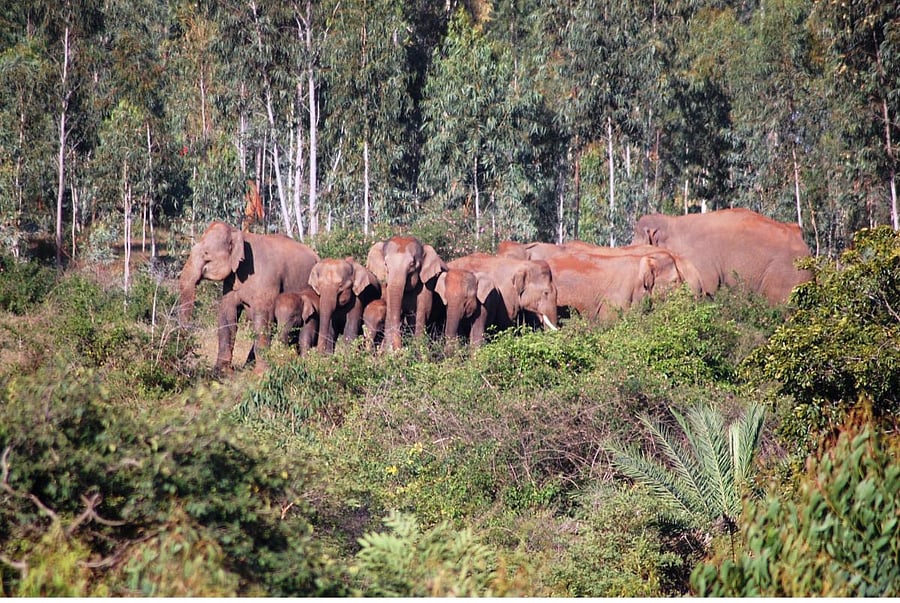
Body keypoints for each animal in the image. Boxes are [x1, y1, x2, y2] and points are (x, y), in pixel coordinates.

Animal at [178, 221, 320, 373]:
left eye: (206, 254)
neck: (240, 235)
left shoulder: (266, 279)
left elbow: (263, 318)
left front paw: (261, 373)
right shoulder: (232, 280)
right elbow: (227, 314)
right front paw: (221, 371)